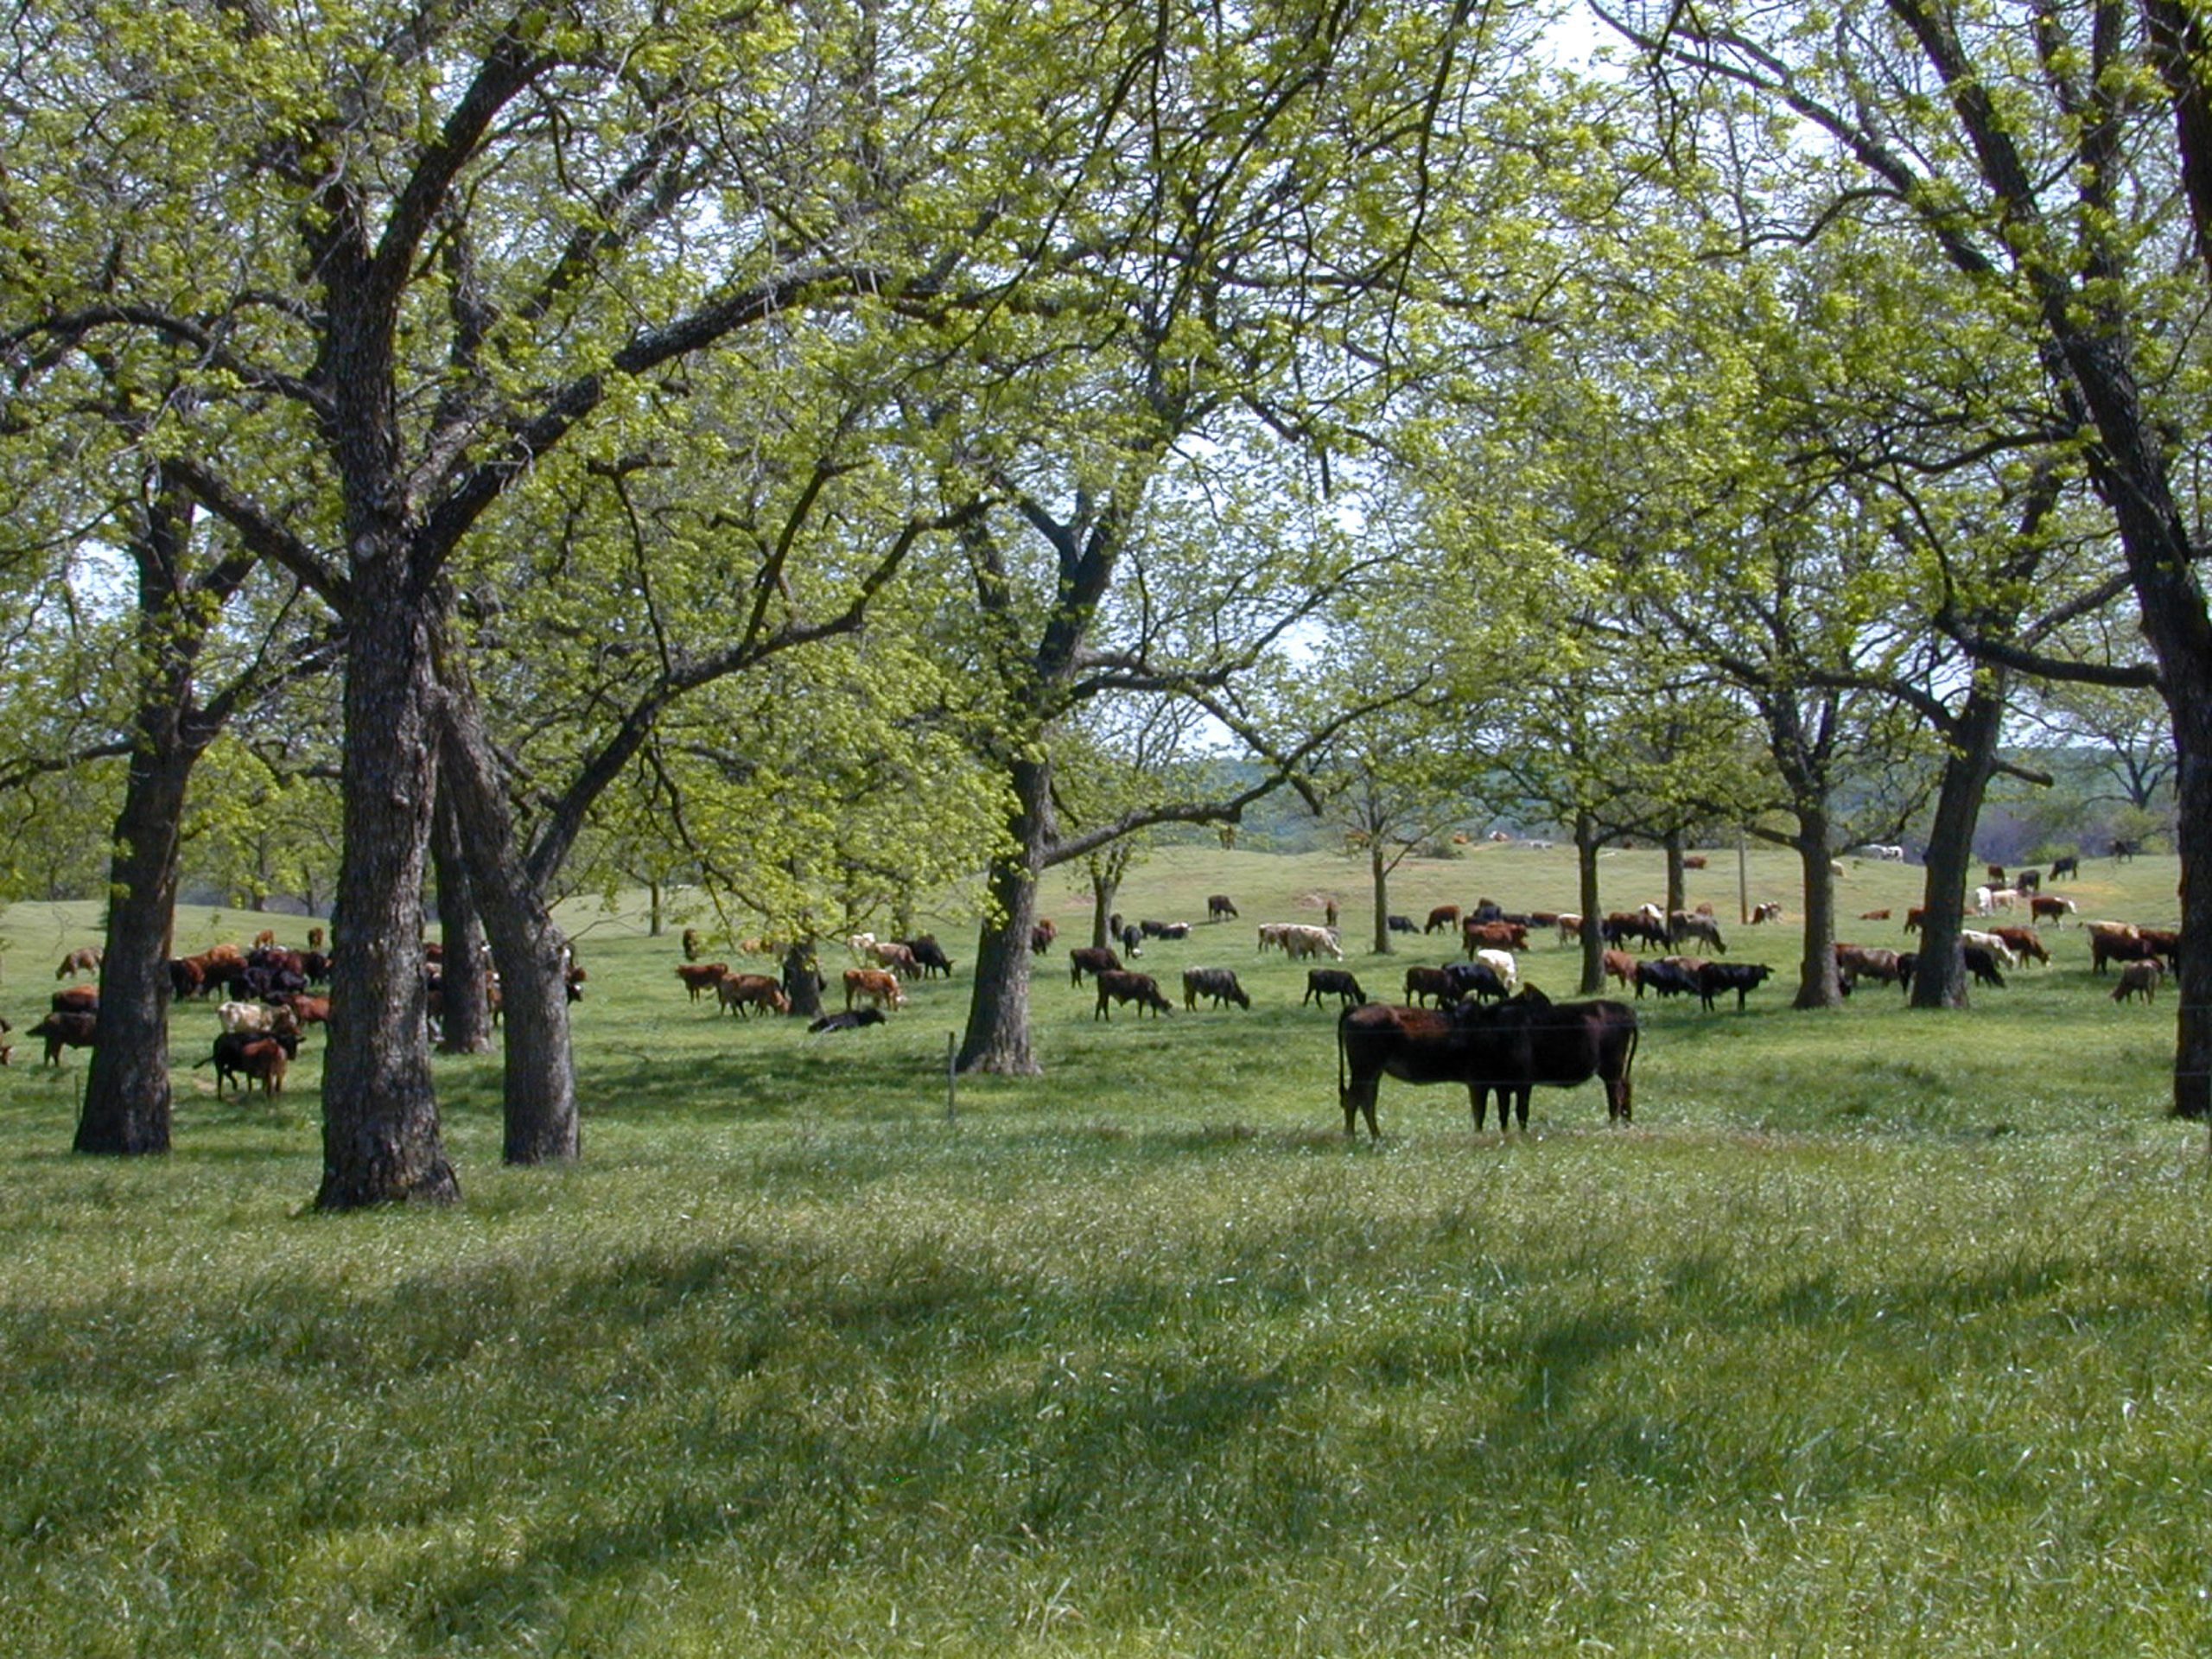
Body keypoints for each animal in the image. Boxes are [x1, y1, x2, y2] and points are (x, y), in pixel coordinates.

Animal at [1335, 989, 1640, 1137]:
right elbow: (1495, 1113)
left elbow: (1502, 1113)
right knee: (1358, 1100)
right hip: (1366, 1070)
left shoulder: (1503, 1083)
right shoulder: (1492, 1083)